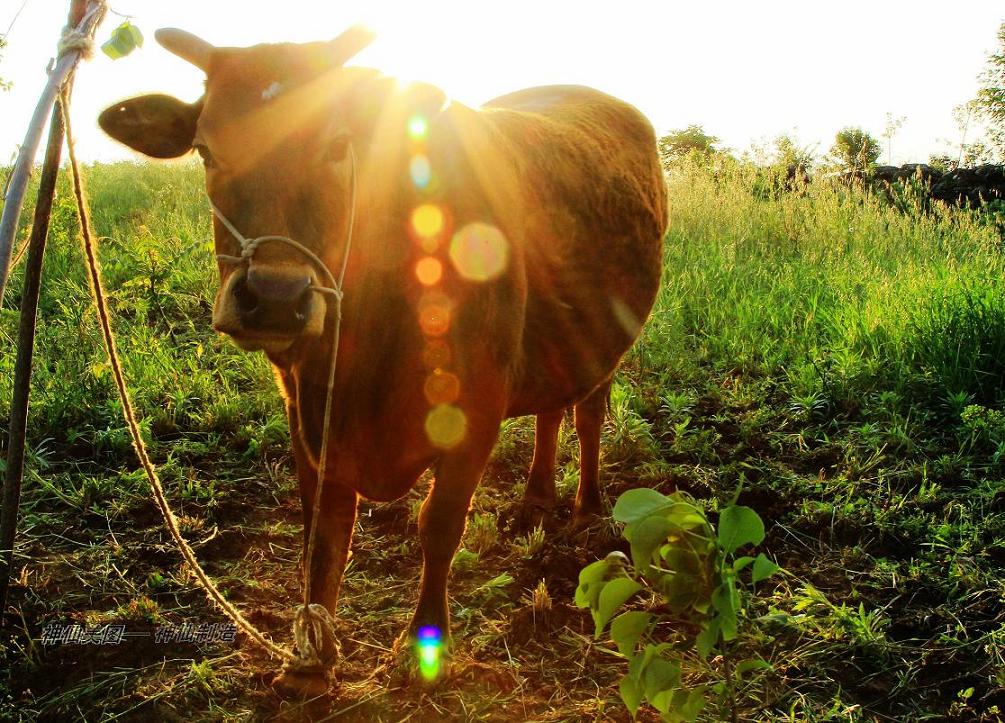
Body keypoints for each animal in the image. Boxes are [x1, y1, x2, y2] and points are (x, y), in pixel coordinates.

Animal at [99, 25, 667, 691]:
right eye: (207, 150)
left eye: (338, 145)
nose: (274, 297)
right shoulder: (307, 416)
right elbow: (324, 534)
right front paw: (310, 658)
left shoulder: (476, 409)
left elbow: (439, 524)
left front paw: (429, 643)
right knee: (551, 411)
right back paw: (534, 499)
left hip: (604, 344)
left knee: (587, 415)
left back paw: (587, 505)